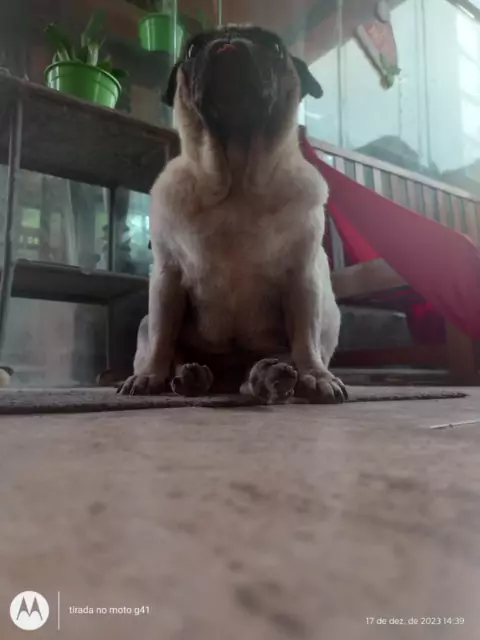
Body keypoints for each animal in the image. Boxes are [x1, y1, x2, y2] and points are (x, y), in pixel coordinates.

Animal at [118, 24, 347, 404]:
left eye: (274, 47)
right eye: (192, 49)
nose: (227, 41)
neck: (237, 177)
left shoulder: (302, 281)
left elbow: (305, 339)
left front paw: (316, 375)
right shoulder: (167, 278)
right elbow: (163, 336)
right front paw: (149, 376)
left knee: (262, 372)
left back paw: (269, 378)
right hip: (146, 323)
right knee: (170, 349)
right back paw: (189, 377)